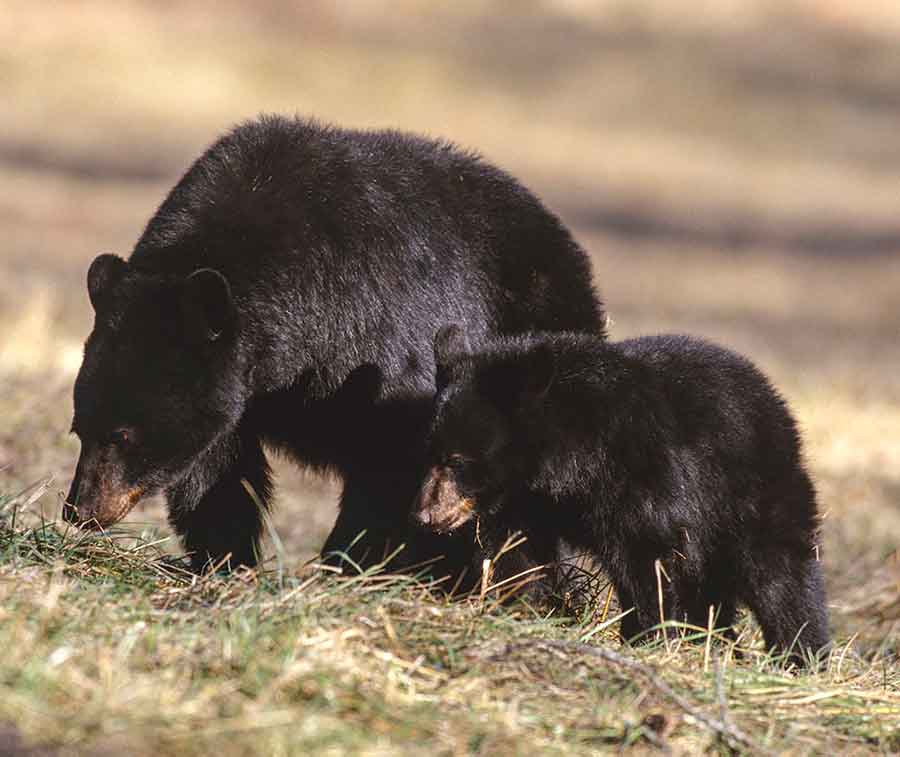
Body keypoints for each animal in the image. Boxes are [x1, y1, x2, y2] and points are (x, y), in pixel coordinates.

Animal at [63, 115, 605, 580]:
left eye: (124, 435)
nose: (80, 510)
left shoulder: (378, 337)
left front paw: (344, 566)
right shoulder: (238, 387)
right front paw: (224, 560)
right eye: (80, 427)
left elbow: (389, 455)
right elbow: (216, 471)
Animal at [413, 326, 829, 666]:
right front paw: (514, 608)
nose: (426, 516)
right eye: (430, 453)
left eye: (457, 460)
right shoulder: (528, 505)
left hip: (751, 494)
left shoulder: (643, 481)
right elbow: (516, 556)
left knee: (781, 575)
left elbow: (646, 562)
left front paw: (647, 638)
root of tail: (777, 404)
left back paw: (801, 655)